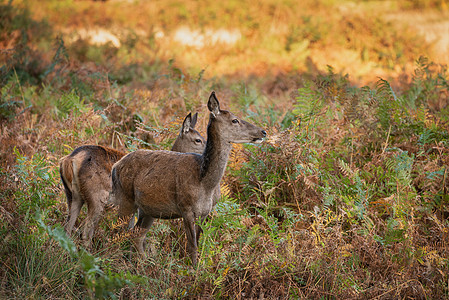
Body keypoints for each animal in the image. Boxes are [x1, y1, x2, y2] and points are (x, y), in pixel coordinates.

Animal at [58, 112, 204, 246]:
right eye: (198, 139)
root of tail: (70, 159)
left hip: (72, 194)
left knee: (67, 228)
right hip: (97, 196)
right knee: (86, 231)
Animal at [109, 91, 266, 264]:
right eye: (235, 120)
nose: (263, 132)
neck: (205, 182)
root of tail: (115, 166)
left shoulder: (205, 212)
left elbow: (197, 242)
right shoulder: (186, 208)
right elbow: (192, 246)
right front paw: (192, 269)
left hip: (148, 209)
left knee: (136, 236)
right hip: (125, 199)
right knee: (116, 233)